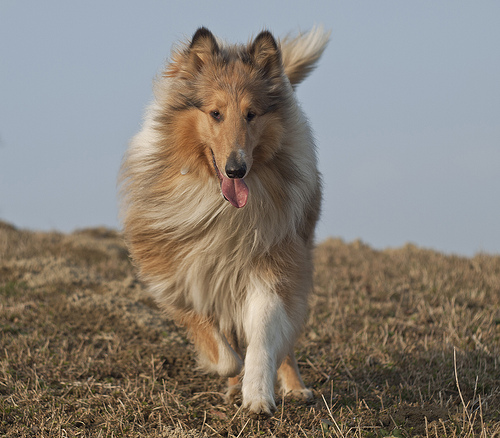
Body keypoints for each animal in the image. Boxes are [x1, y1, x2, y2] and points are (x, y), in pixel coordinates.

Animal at [119, 26, 330, 418]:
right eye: (215, 113)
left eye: (251, 114)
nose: (236, 169)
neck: (220, 205)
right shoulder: (176, 269)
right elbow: (215, 341)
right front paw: (231, 373)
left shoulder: (270, 263)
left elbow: (263, 335)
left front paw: (258, 394)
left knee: (285, 340)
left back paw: (295, 387)